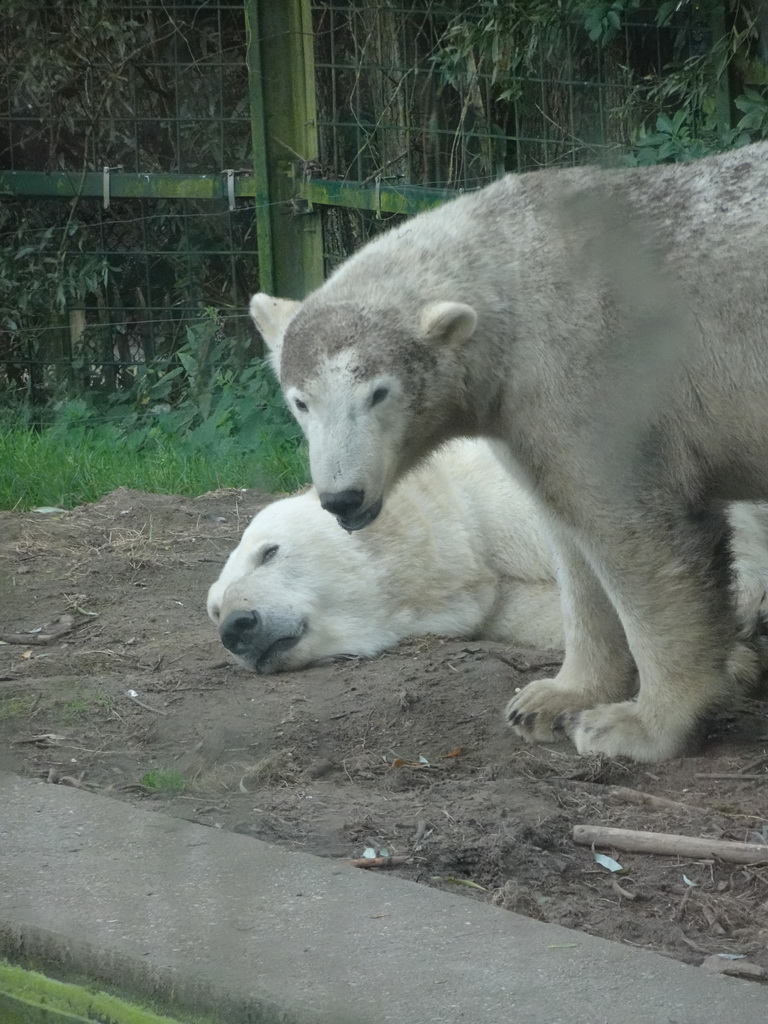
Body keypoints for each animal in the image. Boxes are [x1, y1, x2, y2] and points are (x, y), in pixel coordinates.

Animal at [249, 148, 768, 765]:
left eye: (379, 393)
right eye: (300, 401)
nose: (343, 497)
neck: (516, 279)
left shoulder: (592, 372)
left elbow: (639, 537)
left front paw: (634, 726)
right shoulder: (525, 414)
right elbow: (571, 539)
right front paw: (549, 699)